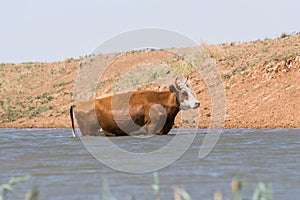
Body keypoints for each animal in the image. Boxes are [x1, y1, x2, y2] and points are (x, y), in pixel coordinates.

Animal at [70, 77, 199, 138]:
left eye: (192, 91)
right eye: (184, 93)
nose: (197, 103)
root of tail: (80, 103)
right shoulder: (152, 128)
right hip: (87, 131)